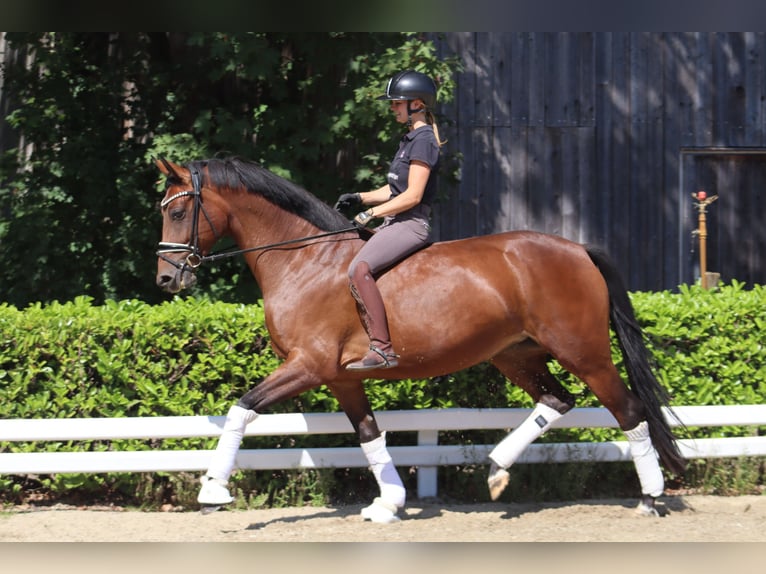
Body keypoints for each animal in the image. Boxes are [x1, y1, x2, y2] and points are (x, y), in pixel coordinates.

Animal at [155, 156, 686, 522]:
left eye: (179, 212)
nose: (166, 280)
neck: (304, 260)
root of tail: (577, 248)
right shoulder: (339, 377)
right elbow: (369, 434)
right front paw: (388, 503)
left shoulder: (308, 365)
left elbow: (242, 409)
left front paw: (212, 491)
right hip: (515, 355)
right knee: (557, 400)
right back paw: (496, 469)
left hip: (583, 352)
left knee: (629, 410)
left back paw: (650, 497)